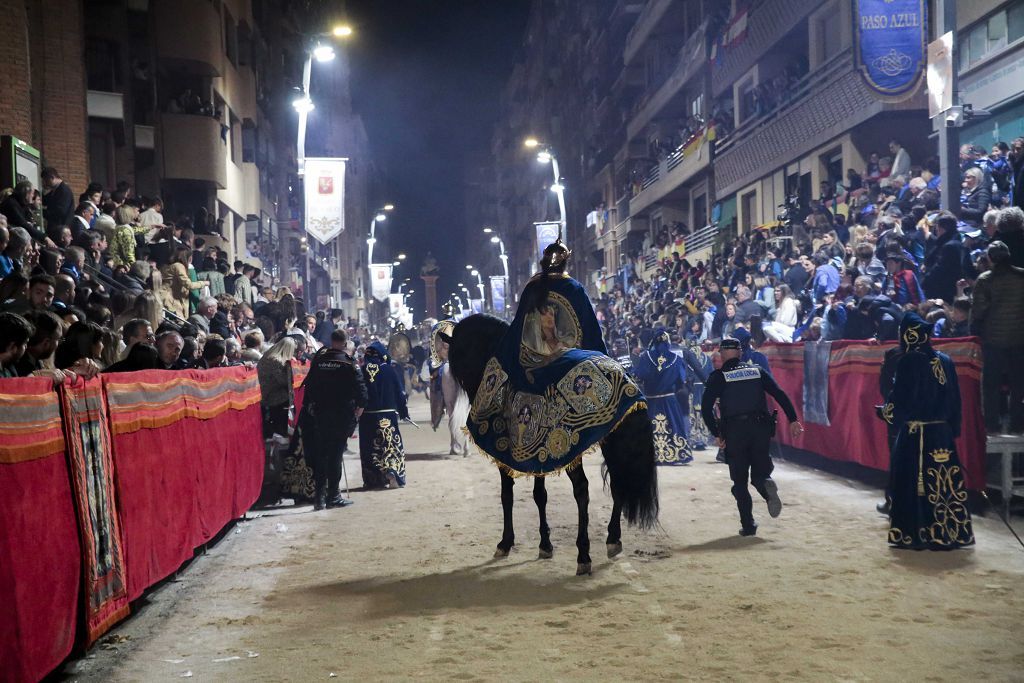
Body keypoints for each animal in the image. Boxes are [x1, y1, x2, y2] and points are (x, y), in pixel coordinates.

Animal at [444, 315, 659, 577]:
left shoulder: (506, 455)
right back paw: (613, 539)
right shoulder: (537, 454)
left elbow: (507, 495)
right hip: (613, 443)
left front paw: (505, 542)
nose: (471, 391)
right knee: (618, 484)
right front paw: (545, 545)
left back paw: (584, 554)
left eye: (459, 356)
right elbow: (540, 495)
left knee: (582, 490)